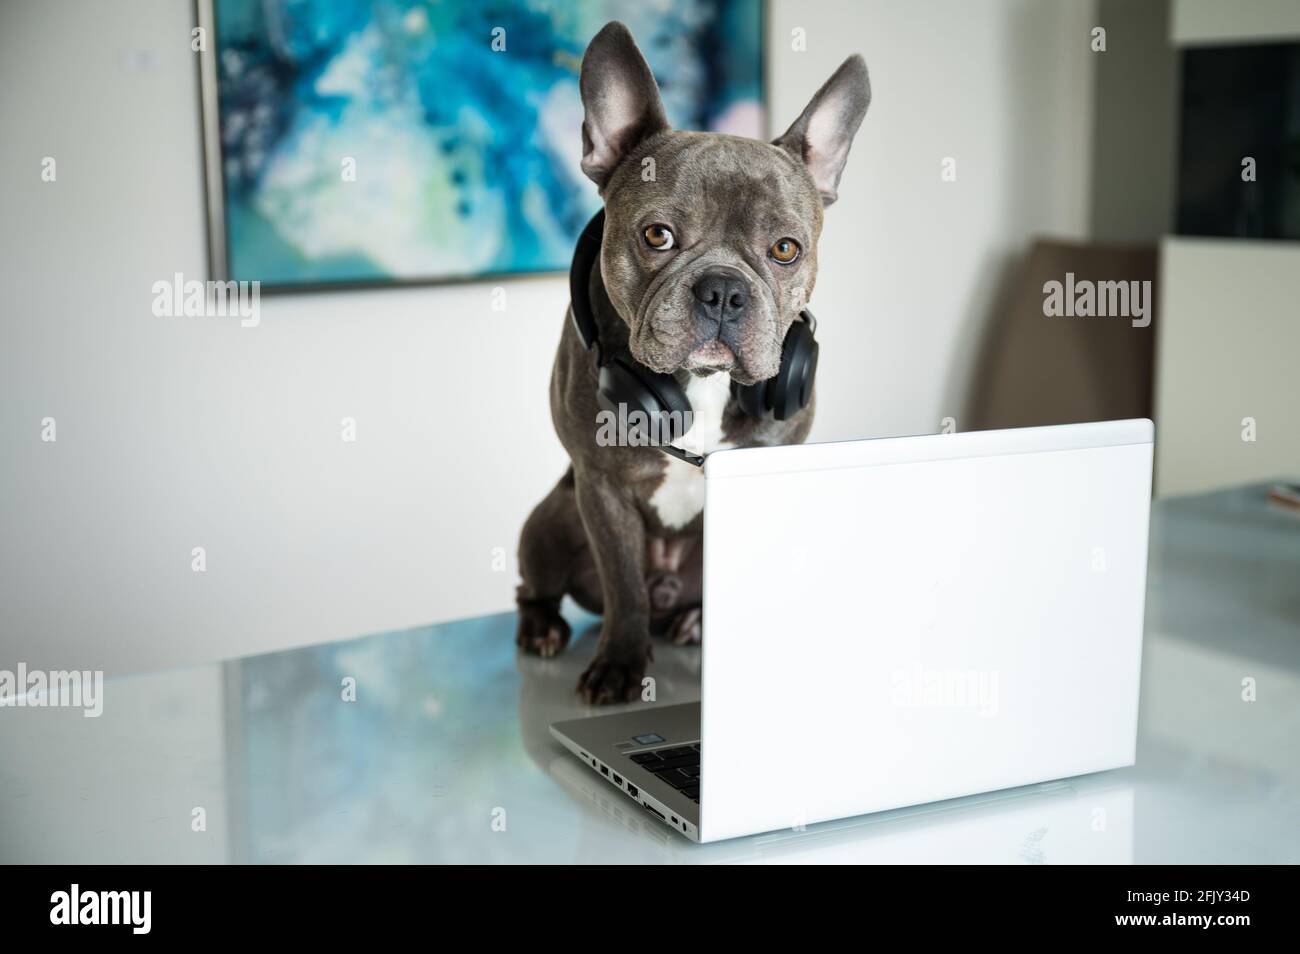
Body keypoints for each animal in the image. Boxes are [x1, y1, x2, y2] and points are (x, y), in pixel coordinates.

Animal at [512, 22, 868, 707]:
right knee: (537, 587)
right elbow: (623, 586)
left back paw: (694, 619)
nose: (724, 290)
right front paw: (620, 667)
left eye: (786, 250)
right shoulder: (601, 485)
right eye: (658, 236)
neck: (701, 386)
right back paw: (542, 628)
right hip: (549, 521)